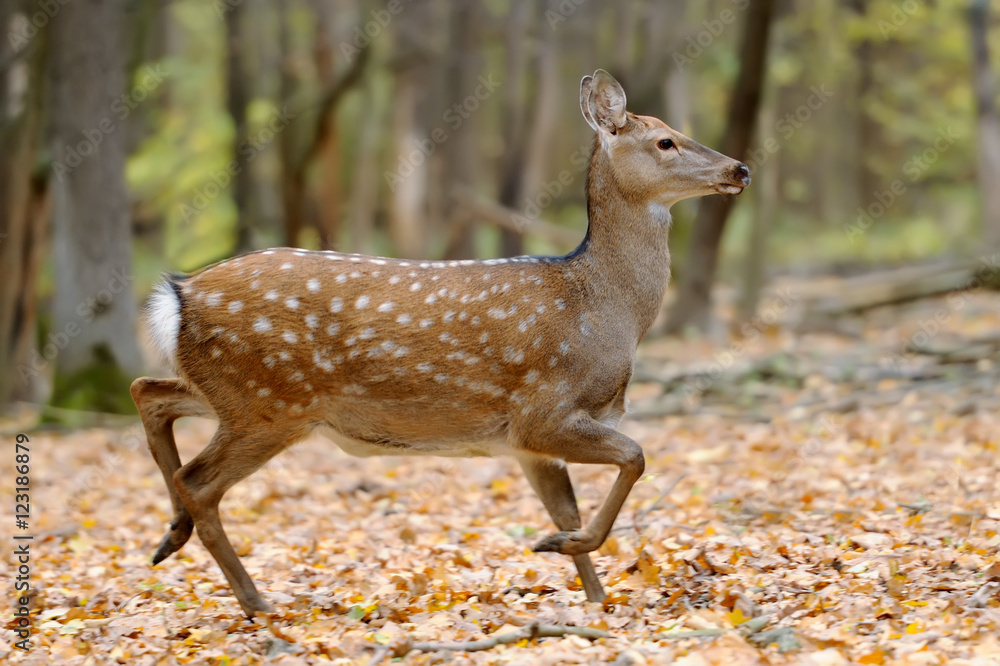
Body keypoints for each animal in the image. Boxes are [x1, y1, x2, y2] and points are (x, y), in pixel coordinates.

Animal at [131, 68, 752, 616]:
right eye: (665, 140)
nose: (740, 168)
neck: (606, 309)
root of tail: (179, 295)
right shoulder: (544, 410)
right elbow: (635, 457)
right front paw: (566, 555)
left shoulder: (525, 442)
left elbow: (567, 511)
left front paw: (595, 597)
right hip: (271, 400)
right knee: (198, 479)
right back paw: (256, 600)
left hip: (234, 393)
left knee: (150, 392)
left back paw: (170, 537)